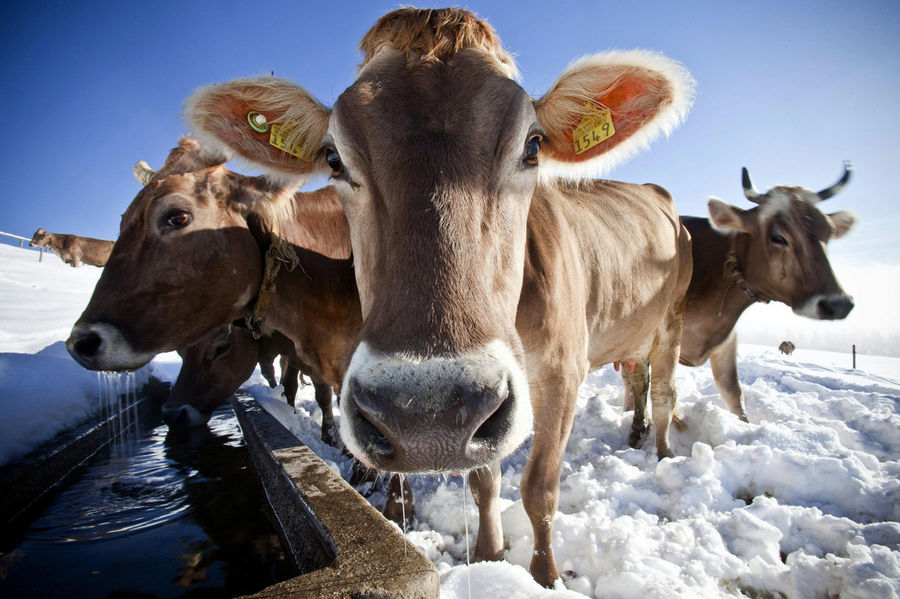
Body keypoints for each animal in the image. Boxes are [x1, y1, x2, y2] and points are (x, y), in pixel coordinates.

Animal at [182, 8, 694, 585]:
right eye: (333, 158)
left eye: (533, 145)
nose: (422, 415)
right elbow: (483, 480)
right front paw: (492, 555)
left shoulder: (565, 372)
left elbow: (539, 490)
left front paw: (545, 576)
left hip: (672, 319)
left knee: (664, 389)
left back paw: (662, 451)